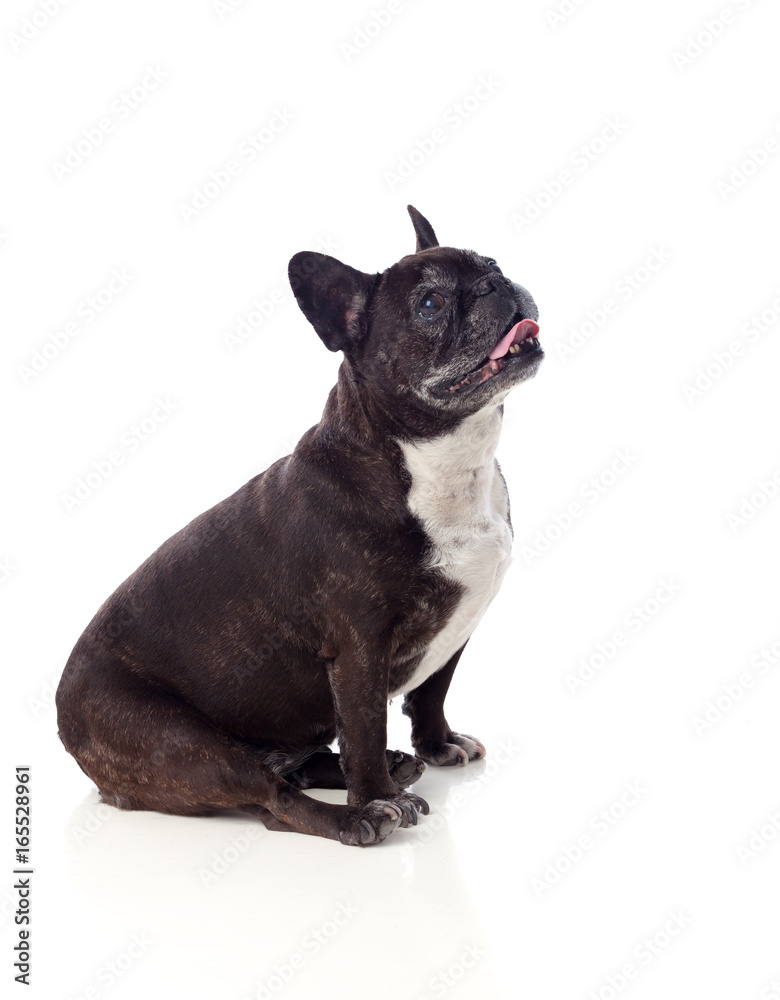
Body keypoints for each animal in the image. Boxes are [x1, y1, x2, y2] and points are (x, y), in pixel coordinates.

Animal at [56, 207, 544, 848]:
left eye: (492, 263)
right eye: (431, 303)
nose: (495, 284)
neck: (442, 458)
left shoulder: (459, 622)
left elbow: (432, 691)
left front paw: (436, 745)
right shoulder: (359, 648)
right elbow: (364, 724)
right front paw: (378, 795)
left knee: (294, 768)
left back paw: (389, 765)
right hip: (183, 745)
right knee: (272, 800)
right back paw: (359, 812)